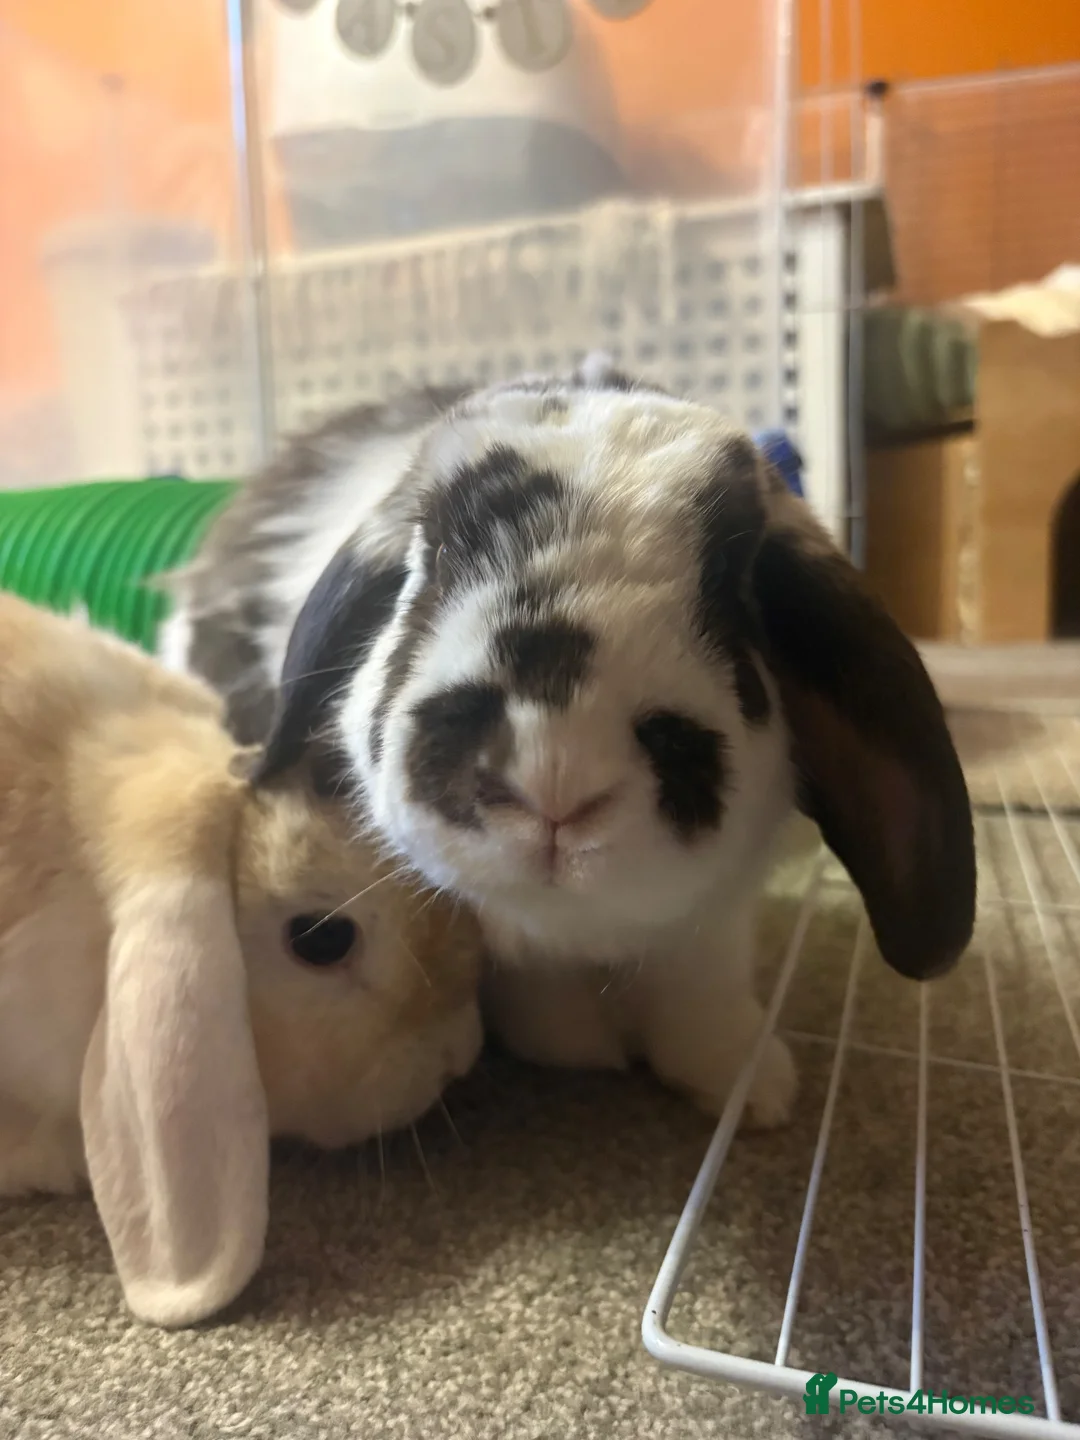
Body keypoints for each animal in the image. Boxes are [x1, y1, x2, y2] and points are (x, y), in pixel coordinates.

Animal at [160, 358, 976, 1129]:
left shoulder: (714, 923)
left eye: (732, 588)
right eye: (429, 558)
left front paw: (753, 1092)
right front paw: (579, 1047)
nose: (555, 779)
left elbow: (703, 991)